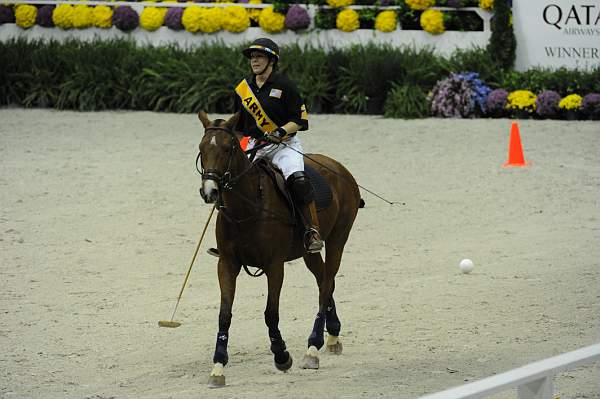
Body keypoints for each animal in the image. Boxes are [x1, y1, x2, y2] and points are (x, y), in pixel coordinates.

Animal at [197, 111, 360, 388]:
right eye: (201, 148)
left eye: (228, 148)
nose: (210, 191)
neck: (247, 209)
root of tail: (339, 167)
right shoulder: (227, 263)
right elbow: (224, 314)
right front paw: (218, 367)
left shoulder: (274, 265)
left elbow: (271, 313)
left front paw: (282, 355)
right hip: (308, 252)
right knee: (323, 280)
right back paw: (333, 336)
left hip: (338, 237)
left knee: (326, 283)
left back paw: (313, 348)